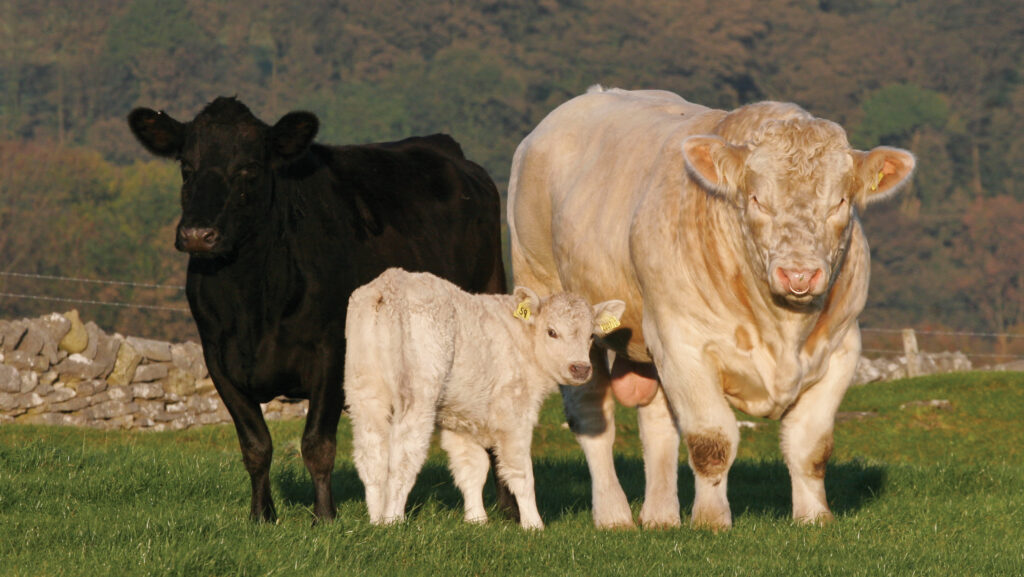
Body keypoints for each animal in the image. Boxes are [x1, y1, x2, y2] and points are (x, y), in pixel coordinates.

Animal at [127, 96, 506, 523]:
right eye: (186, 167)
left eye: (249, 168)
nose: (197, 235)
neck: (252, 303)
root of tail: (445, 147)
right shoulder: (218, 358)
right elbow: (256, 446)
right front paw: (261, 515)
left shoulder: (332, 352)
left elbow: (317, 444)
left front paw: (324, 516)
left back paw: (508, 508)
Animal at [344, 268, 624, 529]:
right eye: (552, 332)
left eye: (591, 335)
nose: (580, 368)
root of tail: (390, 283)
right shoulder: (515, 415)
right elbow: (521, 474)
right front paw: (534, 525)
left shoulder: (462, 418)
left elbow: (471, 469)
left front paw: (476, 520)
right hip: (417, 395)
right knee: (403, 458)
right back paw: (393, 521)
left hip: (363, 392)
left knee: (371, 455)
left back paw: (376, 520)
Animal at [508, 86, 915, 531]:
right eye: (757, 200)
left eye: (840, 202)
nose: (799, 274)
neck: (782, 330)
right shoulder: (682, 343)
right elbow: (711, 439)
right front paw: (711, 520)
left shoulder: (842, 348)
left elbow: (810, 446)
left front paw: (814, 517)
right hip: (554, 296)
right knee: (592, 418)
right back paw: (614, 514)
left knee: (657, 424)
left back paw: (660, 516)